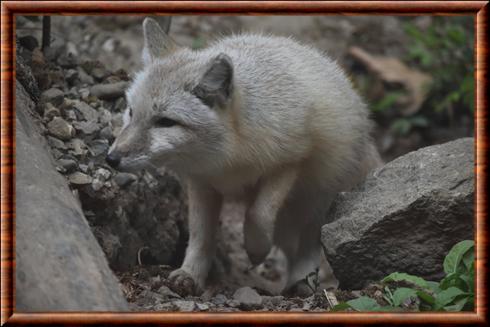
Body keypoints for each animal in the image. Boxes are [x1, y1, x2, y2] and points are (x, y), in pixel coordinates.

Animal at [106, 16, 382, 296]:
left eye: (165, 122)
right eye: (131, 112)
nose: (111, 158)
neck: (228, 155)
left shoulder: (290, 162)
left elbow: (258, 215)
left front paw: (257, 250)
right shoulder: (202, 182)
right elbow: (200, 235)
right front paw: (191, 274)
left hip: (313, 205)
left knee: (308, 246)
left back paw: (301, 281)